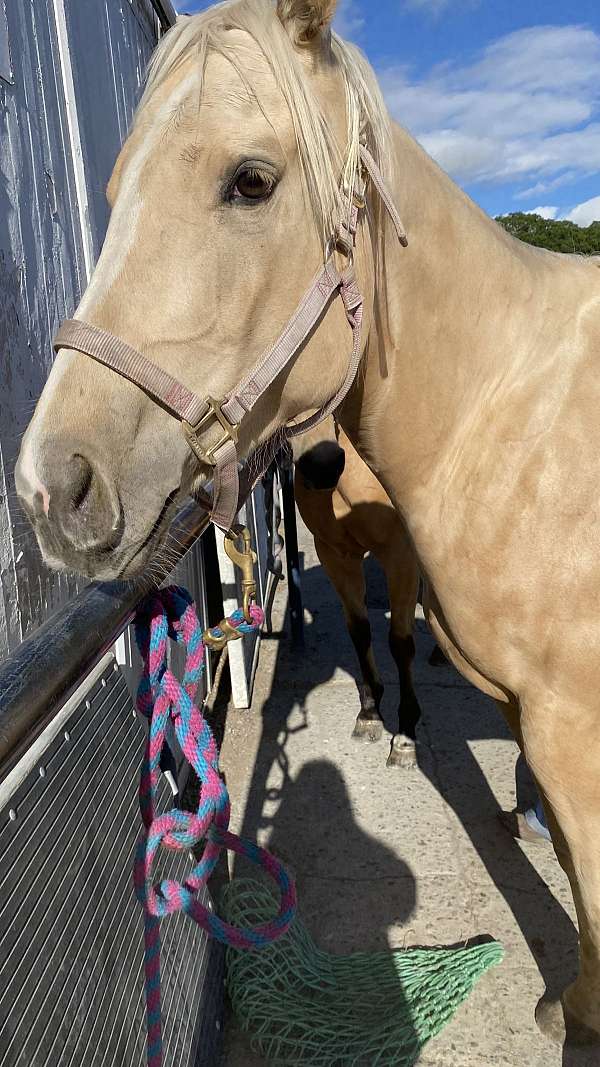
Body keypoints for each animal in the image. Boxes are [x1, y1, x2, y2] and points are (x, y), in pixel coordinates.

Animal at [293, 418, 422, 769]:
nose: (322, 466)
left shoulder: (401, 554)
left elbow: (400, 643)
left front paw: (405, 736)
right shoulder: (335, 554)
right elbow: (360, 631)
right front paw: (370, 714)